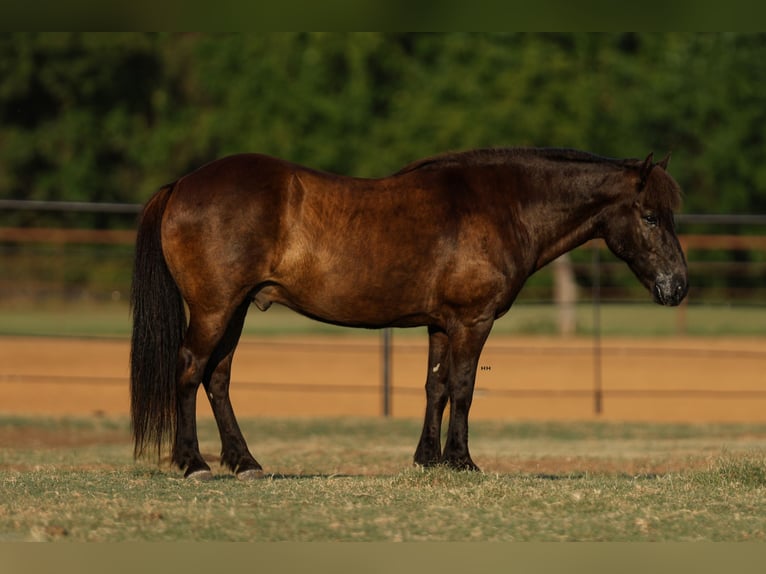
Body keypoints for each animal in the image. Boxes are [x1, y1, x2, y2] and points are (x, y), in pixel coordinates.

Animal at [130, 147, 688, 482]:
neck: (503, 206)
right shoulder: (472, 321)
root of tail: (183, 184)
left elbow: (435, 387)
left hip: (237, 309)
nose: (678, 285)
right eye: (650, 217)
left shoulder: (441, 323)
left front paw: (428, 459)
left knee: (218, 377)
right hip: (214, 308)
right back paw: (193, 463)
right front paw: (461, 461)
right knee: (189, 369)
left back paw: (244, 462)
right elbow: (463, 387)